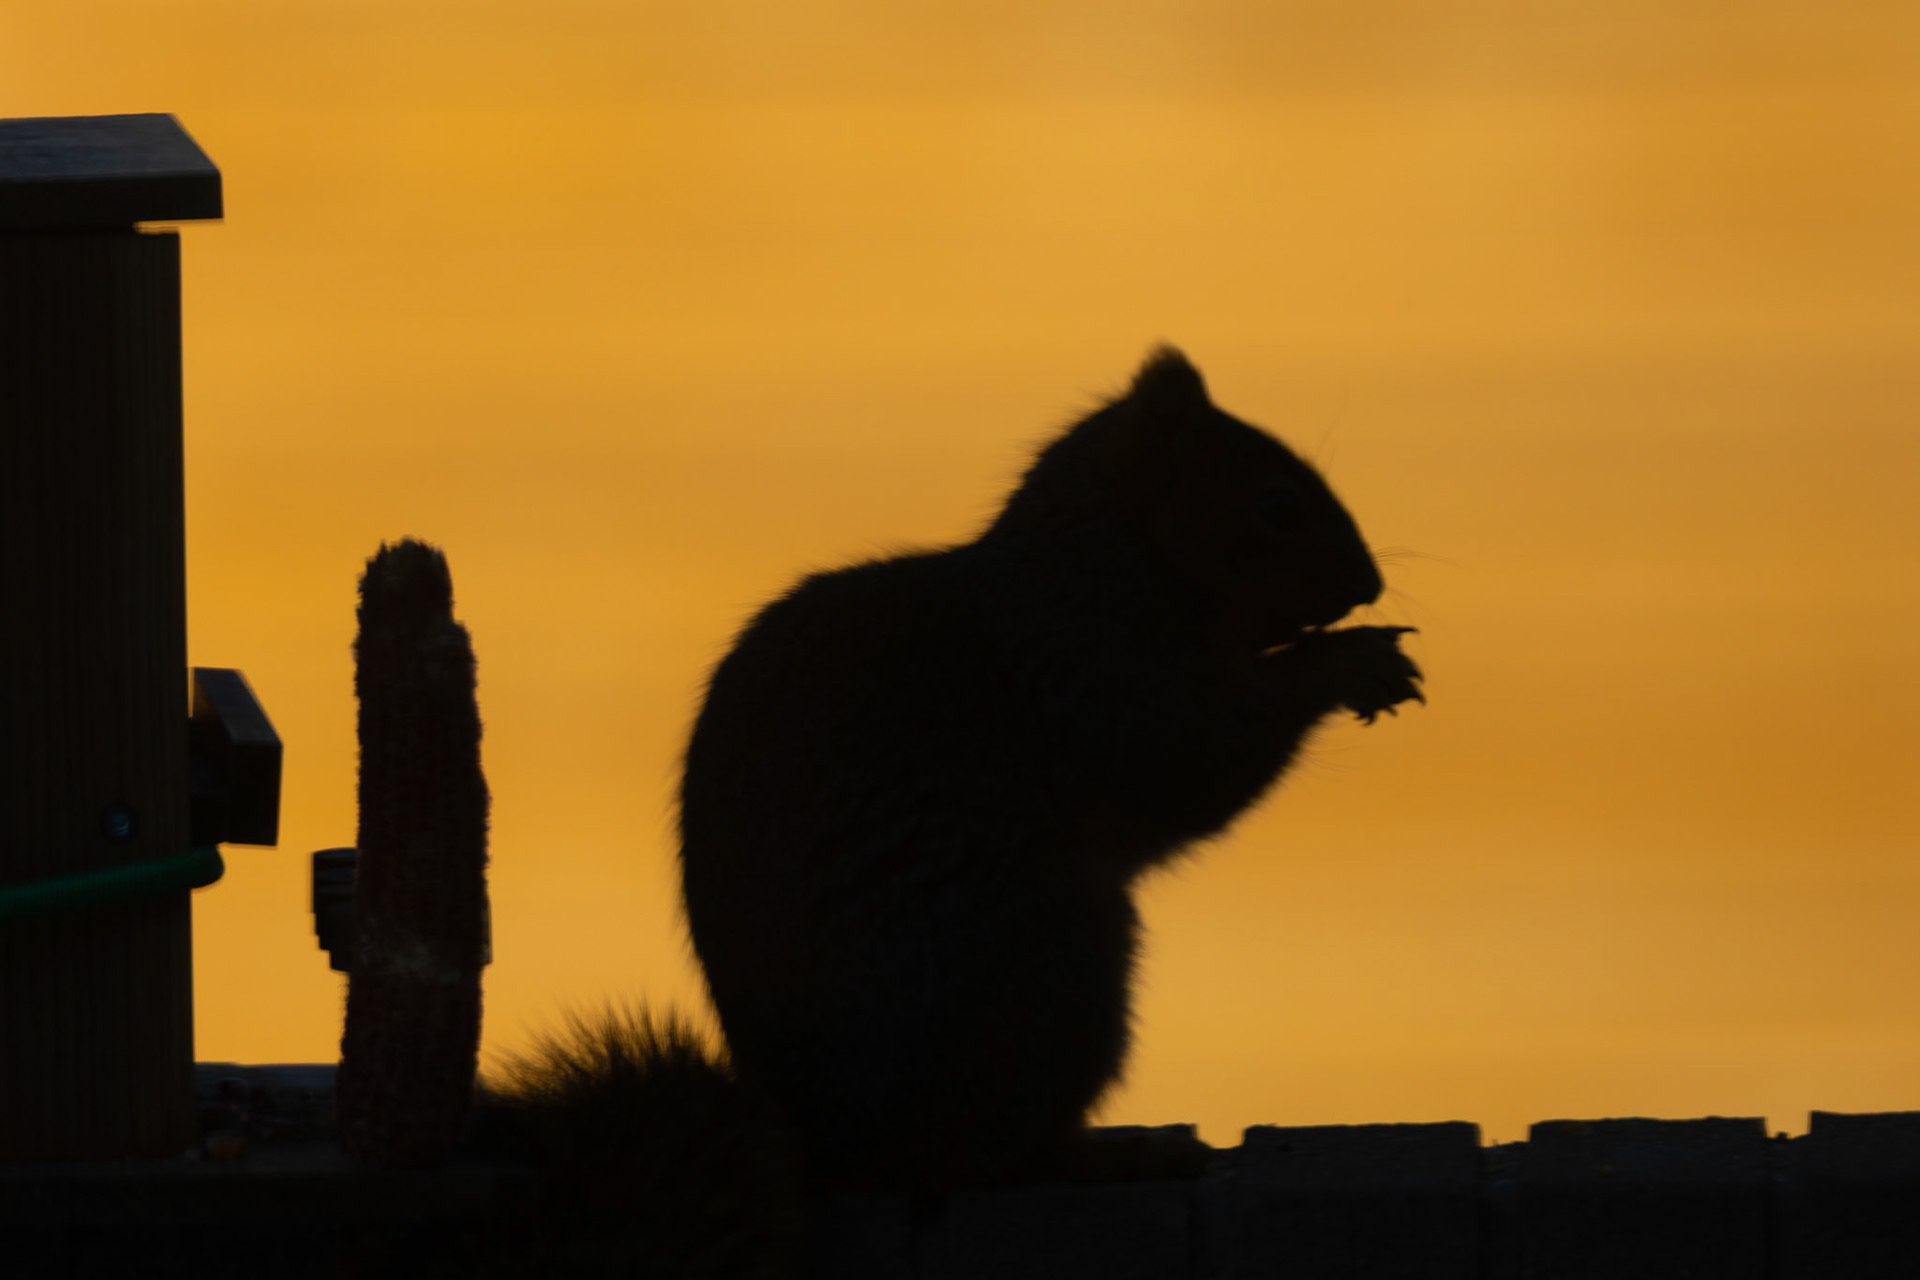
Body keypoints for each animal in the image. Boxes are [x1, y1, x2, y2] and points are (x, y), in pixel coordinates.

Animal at [469, 346, 1421, 1275]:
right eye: (1276, 505)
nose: (1370, 584)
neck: (1109, 556)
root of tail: (829, 1145)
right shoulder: (1091, 664)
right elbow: (1187, 762)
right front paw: (1346, 663)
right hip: (1051, 968)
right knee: (987, 1159)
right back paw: (1119, 1153)